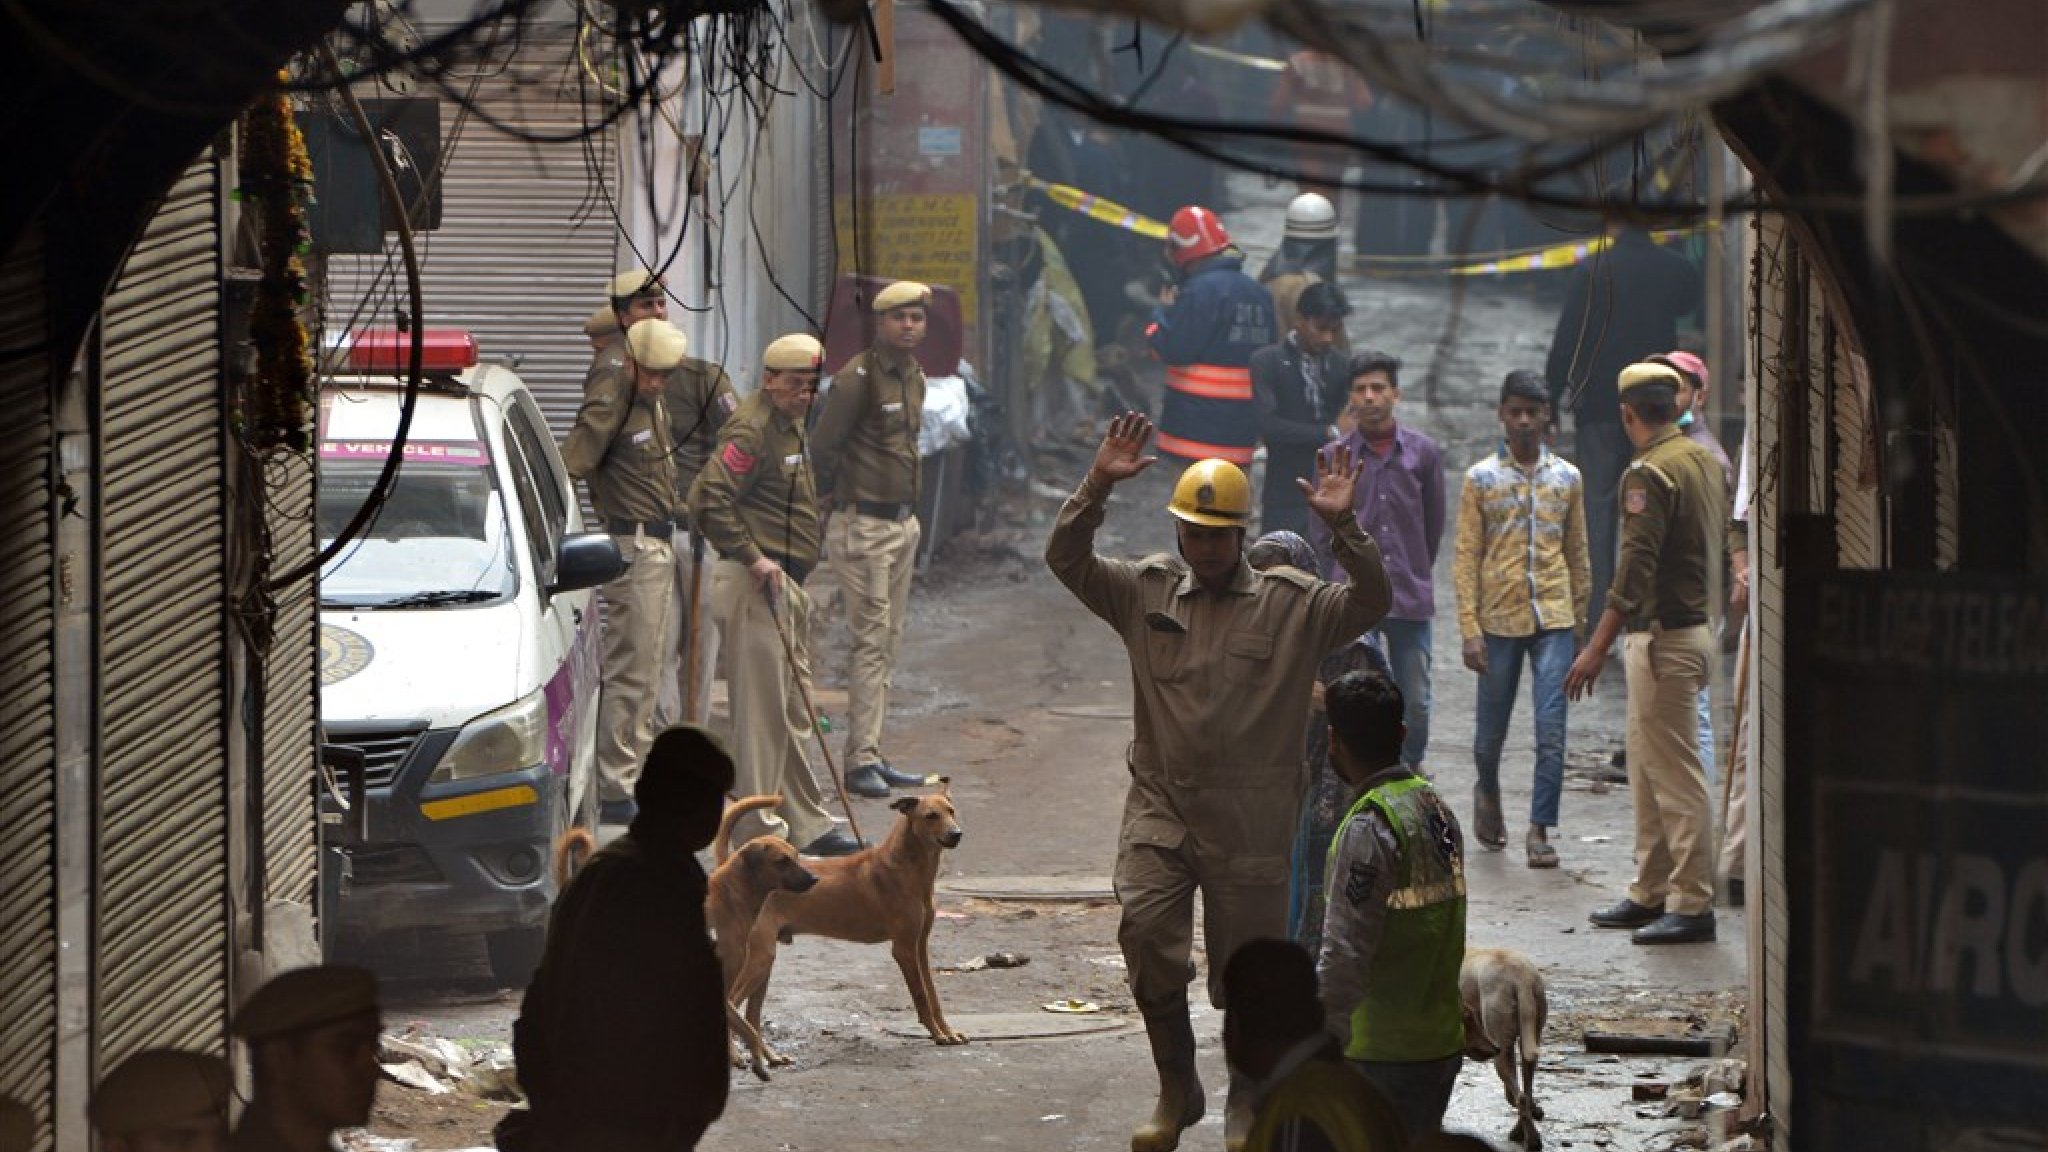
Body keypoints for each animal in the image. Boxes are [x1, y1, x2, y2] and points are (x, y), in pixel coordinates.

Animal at [708, 787, 819, 1074]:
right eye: (781, 861)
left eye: (797, 856)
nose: (815, 879)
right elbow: (744, 1026)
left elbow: (748, 1025)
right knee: (747, 1019)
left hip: (761, 968)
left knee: (752, 1018)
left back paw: (765, 1056)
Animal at [729, 774, 966, 1065]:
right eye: (931, 816)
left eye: (951, 811)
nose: (956, 834)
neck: (908, 868)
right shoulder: (904, 949)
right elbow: (921, 995)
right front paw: (936, 1034)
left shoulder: (919, 946)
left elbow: (932, 995)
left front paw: (947, 1031)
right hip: (758, 959)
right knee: (732, 1003)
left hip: (764, 962)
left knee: (751, 1015)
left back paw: (769, 1057)